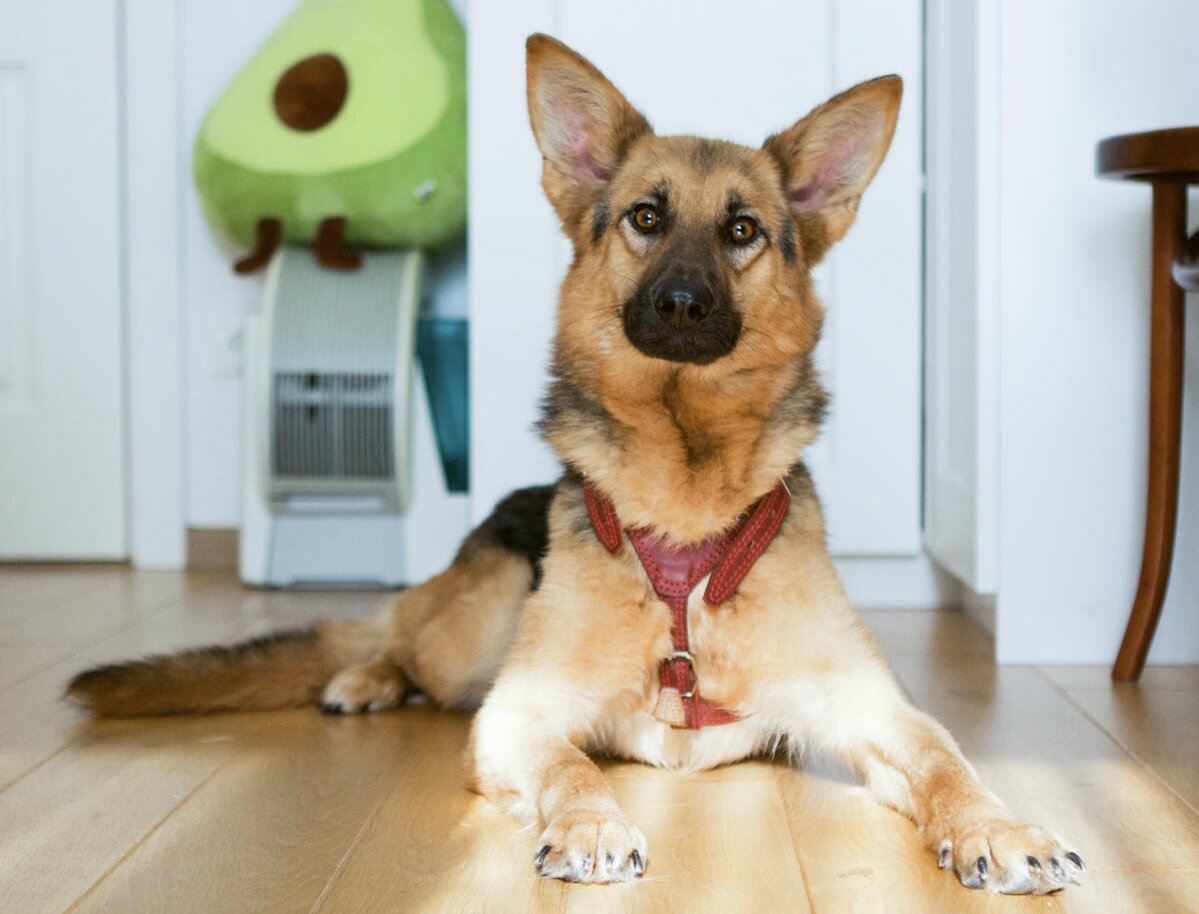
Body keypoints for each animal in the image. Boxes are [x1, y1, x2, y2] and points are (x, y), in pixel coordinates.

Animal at [65, 33, 1083, 892]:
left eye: (742, 231)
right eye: (645, 217)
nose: (680, 304)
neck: (685, 509)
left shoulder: (876, 713)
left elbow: (949, 762)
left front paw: (997, 827)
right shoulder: (519, 715)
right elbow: (570, 762)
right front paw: (593, 823)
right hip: (473, 631)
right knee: (398, 645)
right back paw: (365, 679)